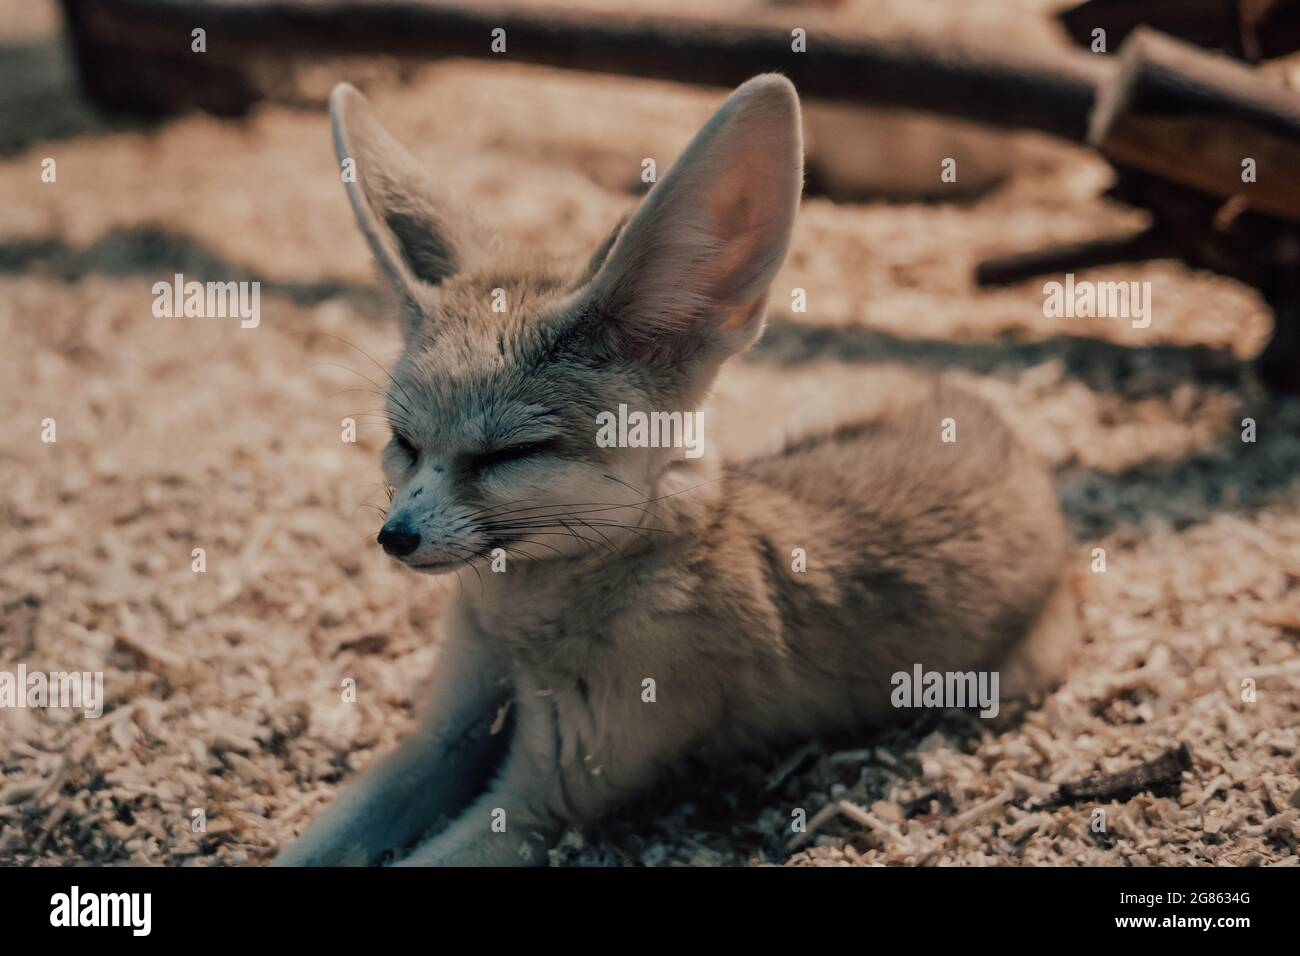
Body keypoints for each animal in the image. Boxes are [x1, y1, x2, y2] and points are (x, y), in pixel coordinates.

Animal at [276, 74, 1076, 868]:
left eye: (510, 453)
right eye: (403, 442)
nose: (395, 537)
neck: (520, 627)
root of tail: (977, 407)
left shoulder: (540, 803)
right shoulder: (440, 739)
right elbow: (312, 845)